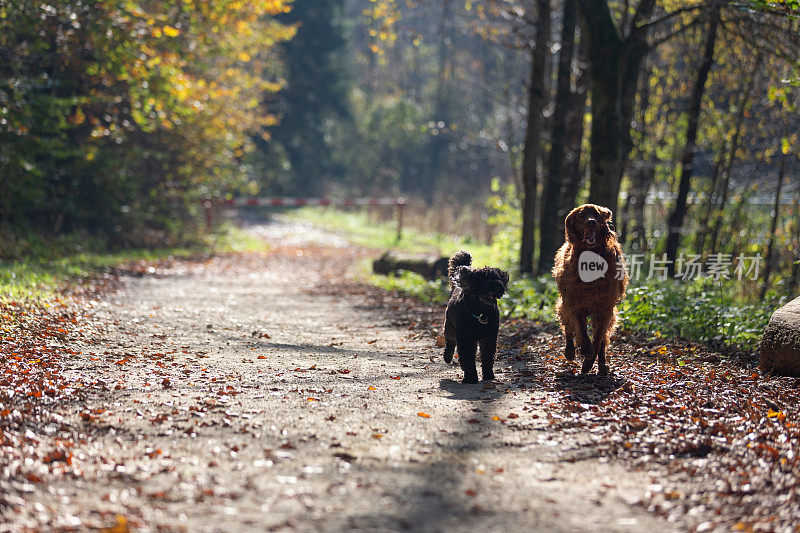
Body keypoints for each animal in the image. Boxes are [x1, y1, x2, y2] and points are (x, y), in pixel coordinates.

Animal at [440, 250, 510, 382]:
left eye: (498, 278)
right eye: (483, 280)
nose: (498, 286)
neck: (480, 312)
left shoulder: (489, 337)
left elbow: (487, 357)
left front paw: (488, 375)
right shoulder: (465, 338)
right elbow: (467, 358)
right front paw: (471, 377)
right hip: (450, 326)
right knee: (450, 341)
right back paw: (447, 356)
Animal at [552, 204, 628, 374]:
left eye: (597, 214)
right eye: (581, 215)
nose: (591, 222)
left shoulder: (605, 308)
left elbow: (598, 339)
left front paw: (589, 361)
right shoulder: (575, 303)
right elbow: (582, 332)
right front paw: (585, 351)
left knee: (603, 340)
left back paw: (602, 364)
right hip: (564, 305)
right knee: (569, 329)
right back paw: (570, 352)